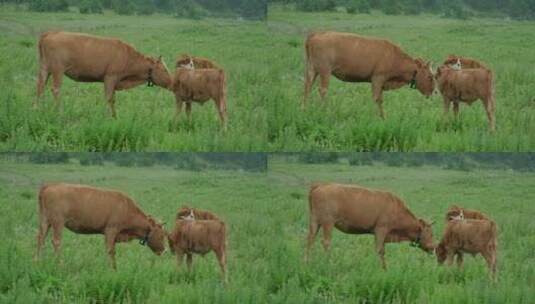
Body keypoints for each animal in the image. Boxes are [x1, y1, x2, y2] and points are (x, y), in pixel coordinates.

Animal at [34, 183, 166, 268]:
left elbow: (112, 251)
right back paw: (59, 264)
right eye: (161, 235)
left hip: (45, 221)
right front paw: (111, 268)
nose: (164, 250)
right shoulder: (111, 231)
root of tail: (49, 186)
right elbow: (110, 251)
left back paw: (37, 261)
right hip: (58, 223)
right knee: (56, 241)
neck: (126, 208)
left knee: (40, 238)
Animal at [35, 30, 172, 116]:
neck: (128, 57)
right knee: (55, 89)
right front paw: (107, 116)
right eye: (164, 69)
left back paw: (37, 108)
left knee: (40, 86)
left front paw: (114, 116)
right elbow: (109, 98)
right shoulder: (110, 77)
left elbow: (112, 99)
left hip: (44, 68)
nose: (172, 82)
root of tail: (50, 33)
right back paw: (59, 111)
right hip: (58, 70)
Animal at [306, 30, 436, 116]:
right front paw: (377, 117)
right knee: (322, 90)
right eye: (430, 76)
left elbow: (380, 100)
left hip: (312, 69)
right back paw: (323, 111)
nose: (433, 92)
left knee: (307, 86)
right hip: (325, 71)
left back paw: (304, 108)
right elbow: (376, 98)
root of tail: (317, 34)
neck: (394, 56)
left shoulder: (381, 83)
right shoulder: (377, 79)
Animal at [306, 183, 436, 268]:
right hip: (328, 223)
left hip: (314, 222)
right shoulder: (381, 230)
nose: (434, 247)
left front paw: (384, 268)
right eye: (430, 233)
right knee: (326, 242)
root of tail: (320, 186)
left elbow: (382, 251)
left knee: (310, 240)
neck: (396, 209)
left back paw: (307, 262)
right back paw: (327, 262)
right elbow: (378, 250)